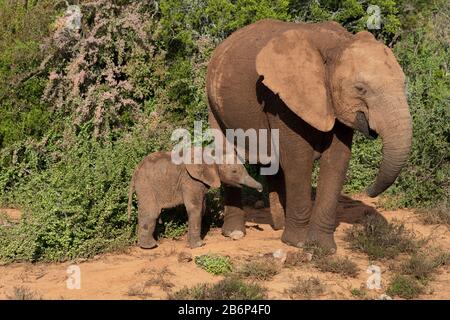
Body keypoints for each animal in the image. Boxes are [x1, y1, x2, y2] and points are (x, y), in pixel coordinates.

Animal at [126, 151, 262, 249]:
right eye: (234, 171)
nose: (261, 188)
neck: (212, 156)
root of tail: (136, 170)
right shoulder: (190, 180)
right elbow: (195, 208)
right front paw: (198, 246)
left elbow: (202, 208)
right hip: (146, 184)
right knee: (151, 213)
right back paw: (150, 246)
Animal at [207, 18, 412, 252]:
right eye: (360, 89)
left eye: (404, 83)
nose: (369, 191)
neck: (337, 44)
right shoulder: (283, 99)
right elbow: (299, 160)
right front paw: (297, 243)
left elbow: (337, 160)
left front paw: (323, 247)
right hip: (213, 103)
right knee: (227, 155)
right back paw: (235, 233)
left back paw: (279, 225)